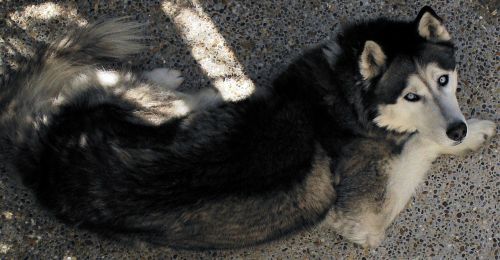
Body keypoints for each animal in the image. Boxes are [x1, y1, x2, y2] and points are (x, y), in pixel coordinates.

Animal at [0, 6, 492, 250]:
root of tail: (47, 156)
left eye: (443, 80)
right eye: (411, 96)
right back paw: (170, 79)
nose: (457, 130)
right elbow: (419, 144)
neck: (342, 90)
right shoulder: (361, 220)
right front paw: (475, 132)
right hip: (170, 109)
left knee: (92, 80)